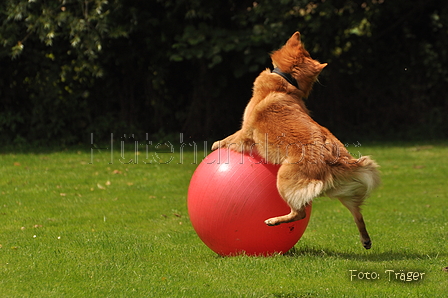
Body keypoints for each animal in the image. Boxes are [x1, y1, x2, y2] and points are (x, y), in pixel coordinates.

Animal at [212, 31, 380, 249]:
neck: (285, 84)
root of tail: (335, 159)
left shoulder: (245, 132)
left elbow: (228, 139)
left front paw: (214, 145)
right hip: (344, 192)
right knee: (357, 213)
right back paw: (365, 239)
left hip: (283, 178)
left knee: (299, 213)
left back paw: (273, 221)